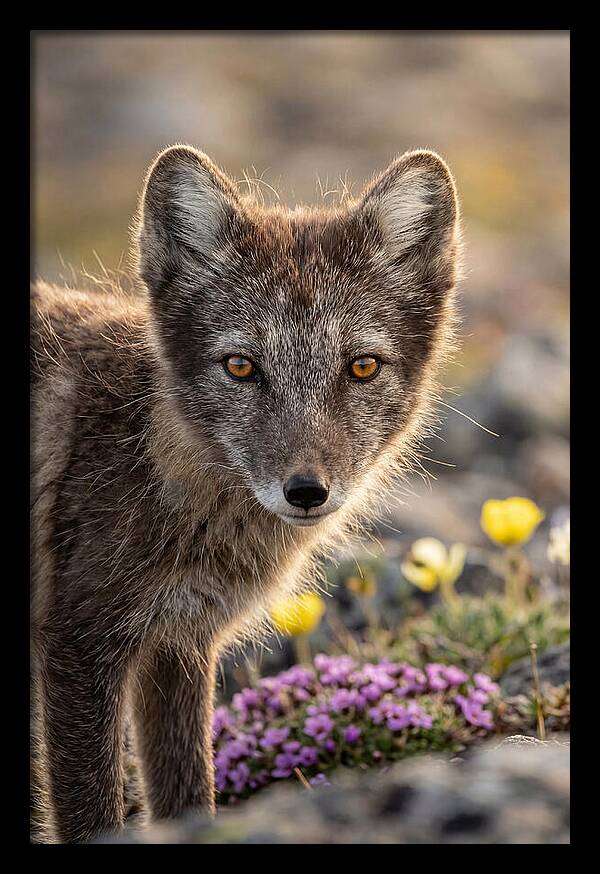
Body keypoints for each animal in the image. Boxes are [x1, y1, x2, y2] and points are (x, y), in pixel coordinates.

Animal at [31, 144, 461, 843]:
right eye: (240, 367)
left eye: (362, 367)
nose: (306, 492)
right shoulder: (79, 645)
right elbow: (92, 814)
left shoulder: (178, 646)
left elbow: (189, 797)